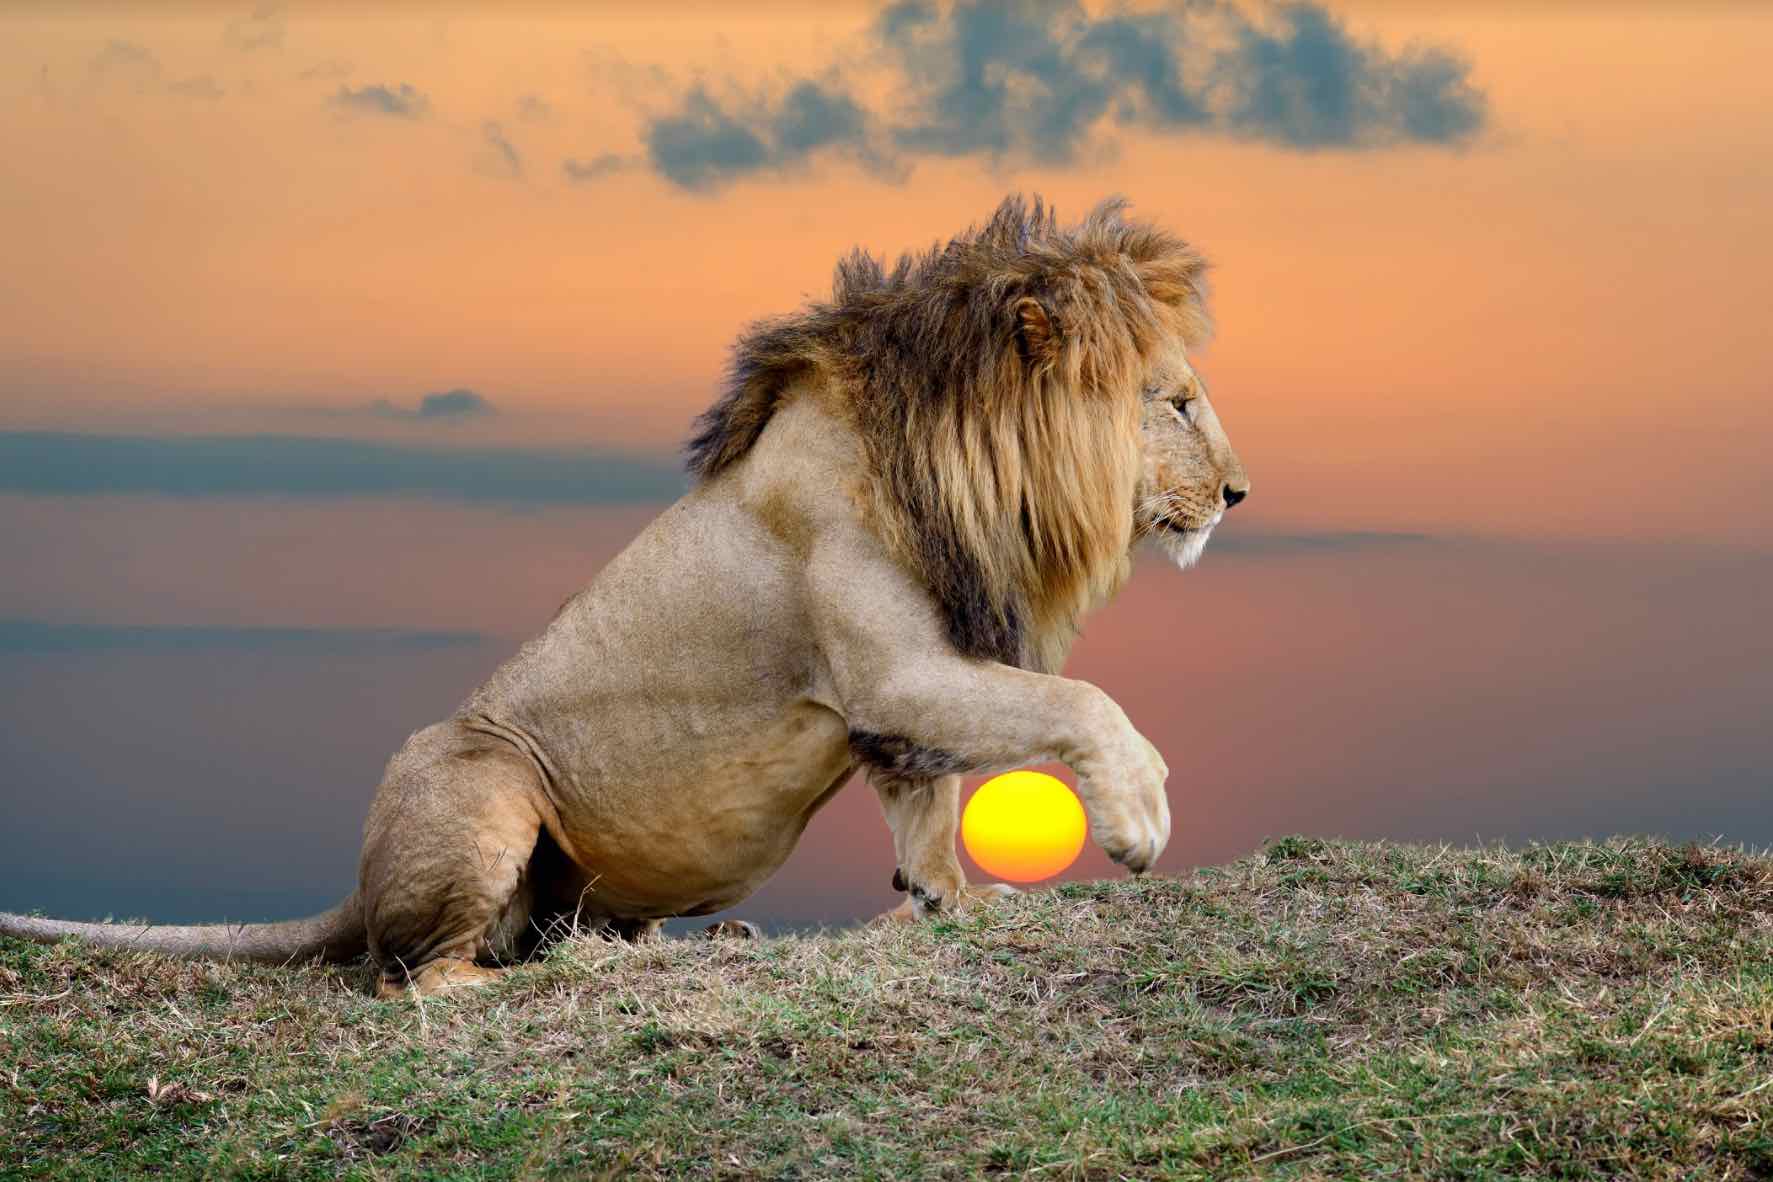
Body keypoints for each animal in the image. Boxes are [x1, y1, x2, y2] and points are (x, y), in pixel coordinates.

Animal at [0, 195, 1249, 994]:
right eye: (1177, 402)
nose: (1240, 493)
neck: (966, 469)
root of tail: (354, 886)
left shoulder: (906, 688)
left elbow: (927, 805)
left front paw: (955, 901)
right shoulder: (897, 670)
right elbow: (1079, 705)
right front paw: (1137, 819)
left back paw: (656, 945)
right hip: (484, 776)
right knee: (412, 976)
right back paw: (525, 981)